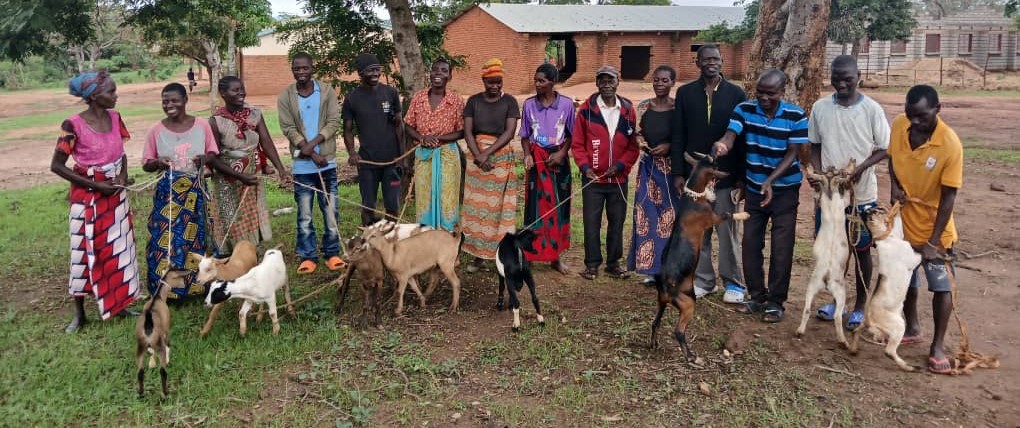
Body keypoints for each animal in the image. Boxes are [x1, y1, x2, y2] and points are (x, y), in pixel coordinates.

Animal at [648, 153, 754, 360]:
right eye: (715, 164)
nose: (722, 162)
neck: (693, 198)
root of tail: (664, 285)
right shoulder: (713, 218)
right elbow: (728, 214)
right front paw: (744, 214)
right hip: (688, 305)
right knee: (679, 331)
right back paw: (691, 356)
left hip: (662, 302)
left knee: (655, 323)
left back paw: (654, 344)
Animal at [791, 161, 856, 348]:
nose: (832, 168)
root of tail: (827, 276)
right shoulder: (842, 198)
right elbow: (844, 194)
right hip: (841, 290)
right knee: (837, 317)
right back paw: (842, 341)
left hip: (812, 285)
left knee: (806, 309)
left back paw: (800, 331)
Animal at [848, 204, 922, 370]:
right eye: (879, 210)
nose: (897, 203)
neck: (886, 238)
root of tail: (869, 318)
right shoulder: (915, 258)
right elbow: (924, 253)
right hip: (899, 326)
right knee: (889, 352)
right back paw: (908, 366)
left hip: (866, 324)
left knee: (856, 331)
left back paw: (853, 350)